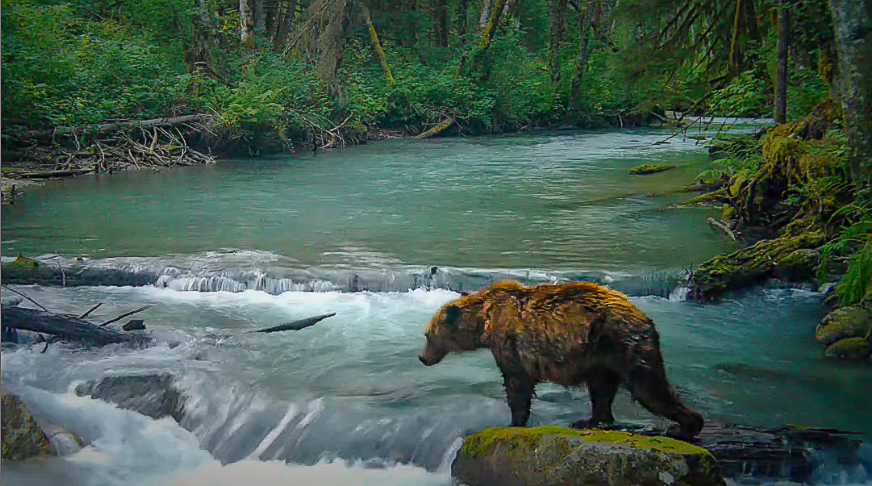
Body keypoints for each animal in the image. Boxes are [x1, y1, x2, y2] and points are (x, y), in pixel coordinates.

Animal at [418, 280, 704, 440]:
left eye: (427, 335)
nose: (422, 357)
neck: (484, 321)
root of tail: (645, 317)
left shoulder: (509, 341)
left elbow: (517, 383)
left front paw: (512, 421)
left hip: (622, 342)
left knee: (649, 386)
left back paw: (685, 427)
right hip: (599, 356)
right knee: (601, 390)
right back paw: (591, 420)